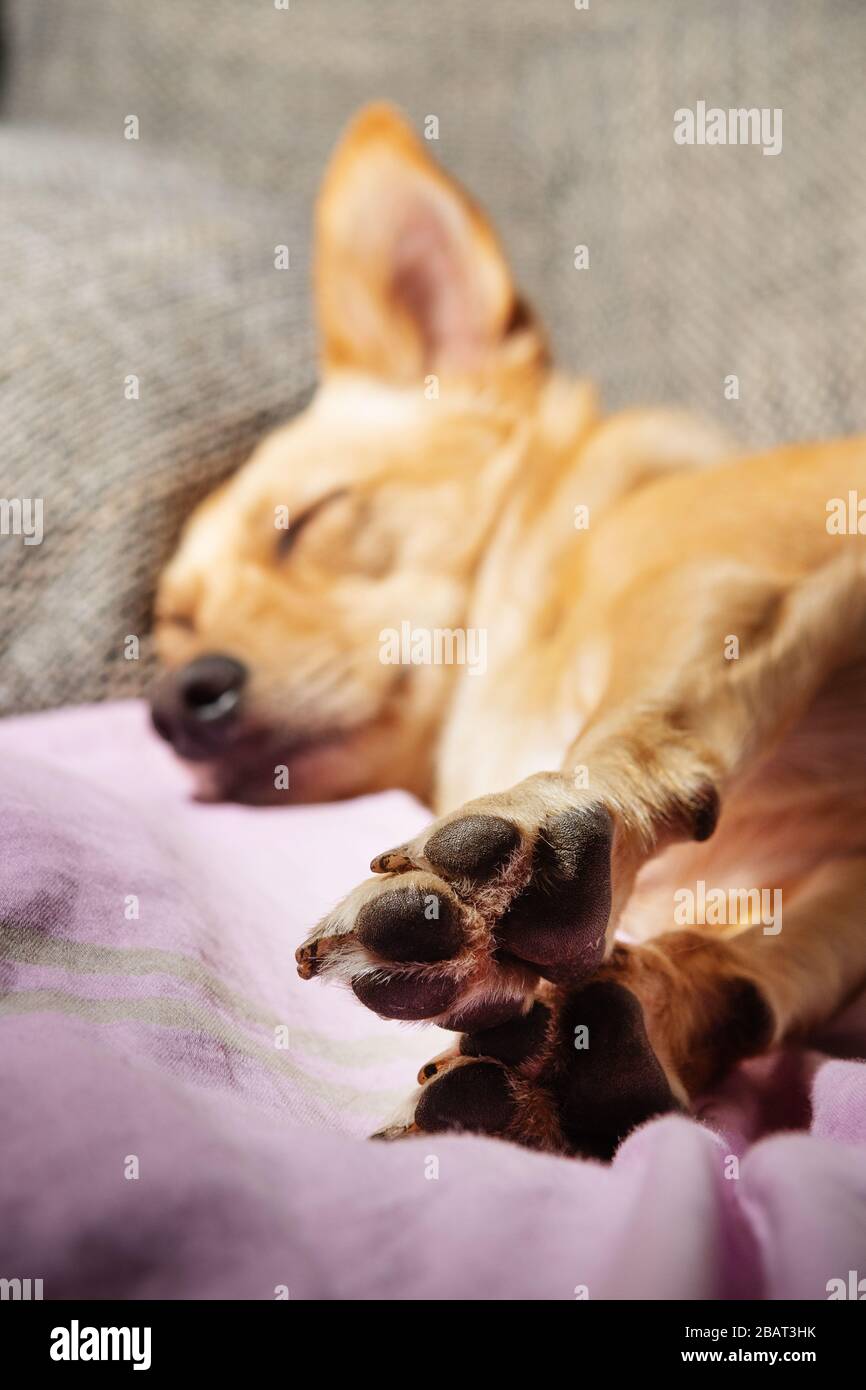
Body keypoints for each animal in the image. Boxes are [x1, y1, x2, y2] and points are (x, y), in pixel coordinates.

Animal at [152, 102, 861, 1156]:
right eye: (172, 624)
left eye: (306, 524)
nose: (174, 699)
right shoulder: (826, 888)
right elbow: (747, 981)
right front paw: (600, 1045)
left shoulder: (727, 582)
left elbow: (639, 733)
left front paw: (531, 848)